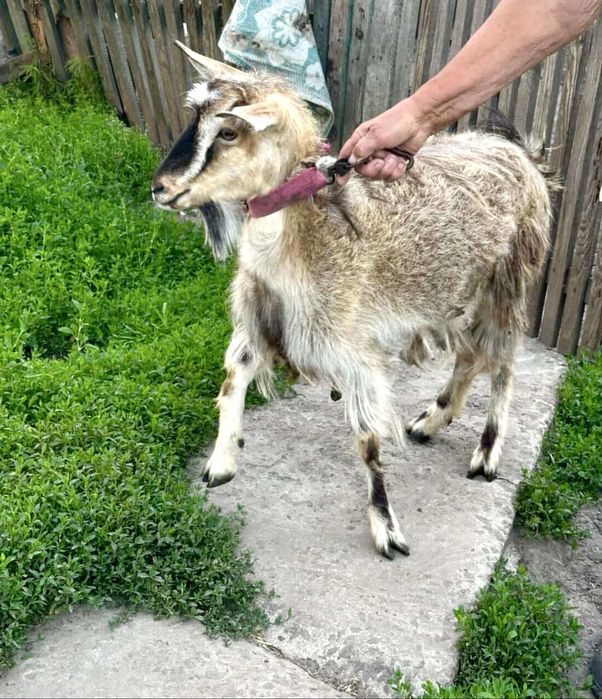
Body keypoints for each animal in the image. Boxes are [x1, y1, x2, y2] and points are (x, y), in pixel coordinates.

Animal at [152, 43, 553, 559]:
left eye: (227, 131)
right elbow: (232, 376)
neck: (303, 238)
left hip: (508, 281)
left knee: (501, 363)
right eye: (195, 120)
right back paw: (430, 421)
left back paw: (485, 453)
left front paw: (386, 528)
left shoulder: (350, 345)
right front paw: (222, 461)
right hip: (459, 291)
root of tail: (519, 151)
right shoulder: (259, 315)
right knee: (468, 357)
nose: (160, 188)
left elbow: (367, 440)